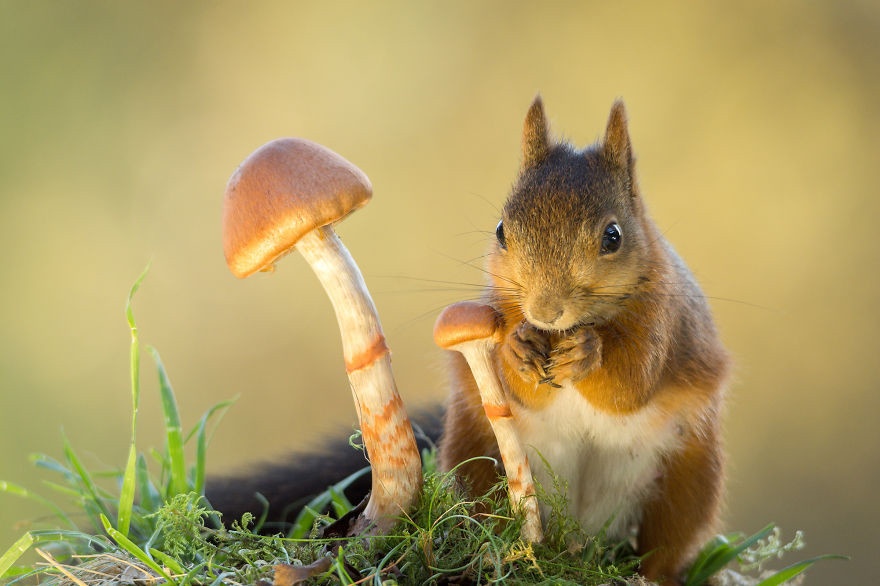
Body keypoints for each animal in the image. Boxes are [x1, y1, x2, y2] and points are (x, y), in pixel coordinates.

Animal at [208, 98, 728, 580]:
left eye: (614, 236)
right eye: (501, 232)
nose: (545, 311)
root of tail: (577, 539)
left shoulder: (666, 320)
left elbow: (631, 382)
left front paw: (588, 352)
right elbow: (520, 386)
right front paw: (516, 349)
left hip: (685, 483)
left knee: (665, 548)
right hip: (474, 450)